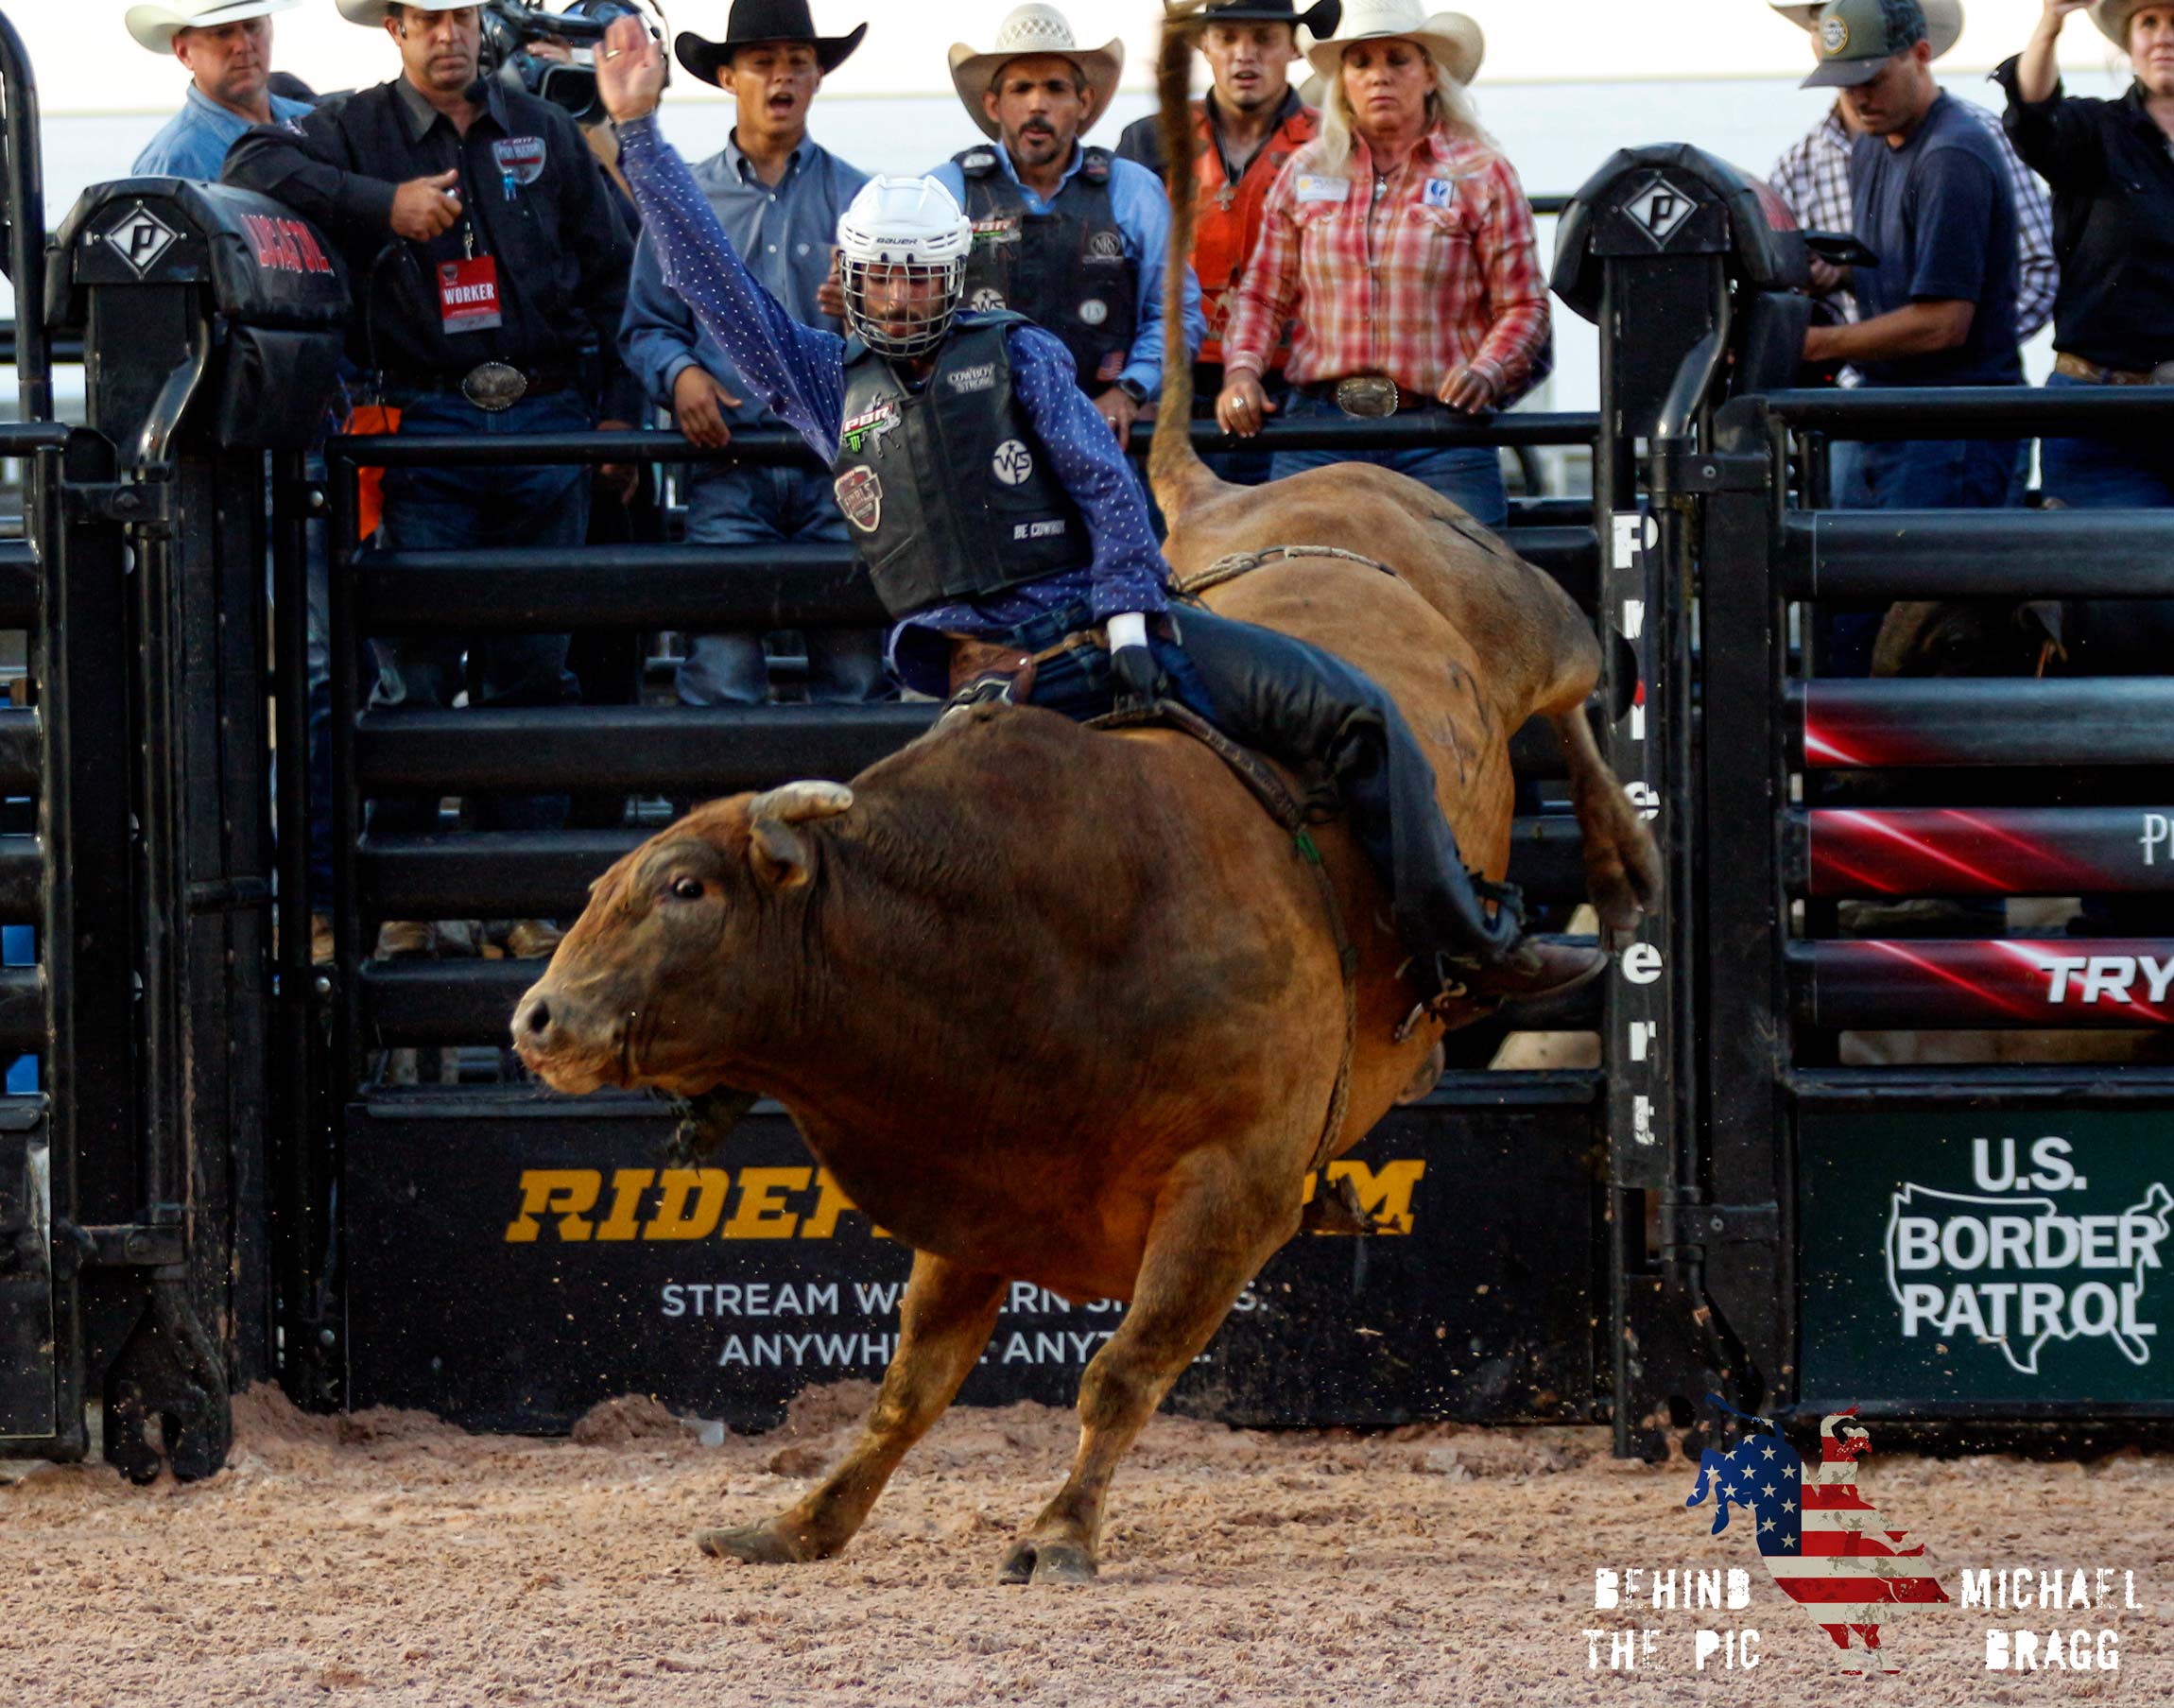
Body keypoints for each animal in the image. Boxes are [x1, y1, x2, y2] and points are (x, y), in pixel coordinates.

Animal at [509, 16, 1652, 1581]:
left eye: (686, 886)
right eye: (604, 887)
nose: (538, 1020)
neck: (1015, 939)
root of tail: (1232, 495)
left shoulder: (1236, 1188)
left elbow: (1122, 1366)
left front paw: (1059, 1526)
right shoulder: (976, 1187)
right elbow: (910, 1381)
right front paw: (804, 1517)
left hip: (1516, 611)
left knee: (1577, 685)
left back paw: (1609, 873)